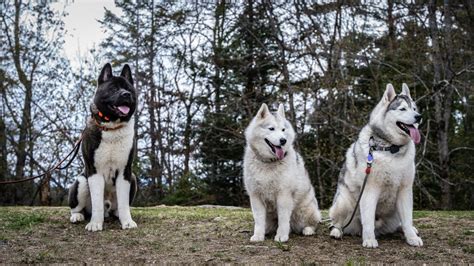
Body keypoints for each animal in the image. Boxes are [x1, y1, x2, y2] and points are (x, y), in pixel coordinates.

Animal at [68, 63, 139, 232]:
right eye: (113, 89)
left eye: (128, 88)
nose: (126, 94)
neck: (112, 127)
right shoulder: (94, 171)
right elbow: (97, 203)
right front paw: (95, 223)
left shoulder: (125, 172)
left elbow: (124, 203)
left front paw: (127, 221)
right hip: (81, 182)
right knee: (77, 208)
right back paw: (77, 216)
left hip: (133, 178)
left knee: (117, 206)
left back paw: (116, 213)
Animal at [244, 103, 322, 243]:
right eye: (271, 129)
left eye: (283, 130)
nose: (283, 140)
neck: (268, 162)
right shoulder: (256, 196)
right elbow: (258, 220)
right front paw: (258, 236)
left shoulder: (283, 196)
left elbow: (284, 220)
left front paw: (281, 236)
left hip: (304, 211)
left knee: (311, 223)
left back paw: (307, 230)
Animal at [328, 83, 424, 247]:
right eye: (402, 109)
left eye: (414, 108)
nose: (419, 117)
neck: (391, 148)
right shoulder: (370, 189)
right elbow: (368, 220)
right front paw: (369, 239)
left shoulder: (404, 190)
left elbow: (407, 219)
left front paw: (411, 237)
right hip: (343, 203)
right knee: (337, 223)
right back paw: (336, 232)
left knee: (400, 223)